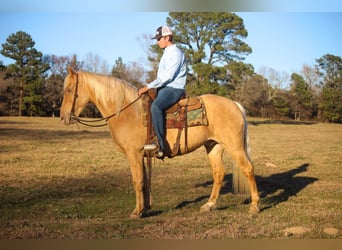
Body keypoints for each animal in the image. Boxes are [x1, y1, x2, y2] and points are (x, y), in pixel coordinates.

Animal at [59, 68, 260, 219]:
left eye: (69, 89)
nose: (63, 117)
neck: (126, 112)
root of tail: (234, 104)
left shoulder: (134, 154)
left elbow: (138, 181)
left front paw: (136, 212)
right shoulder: (142, 155)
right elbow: (145, 181)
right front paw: (145, 208)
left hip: (235, 147)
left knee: (248, 169)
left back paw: (254, 207)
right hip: (213, 146)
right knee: (218, 173)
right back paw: (208, 205)